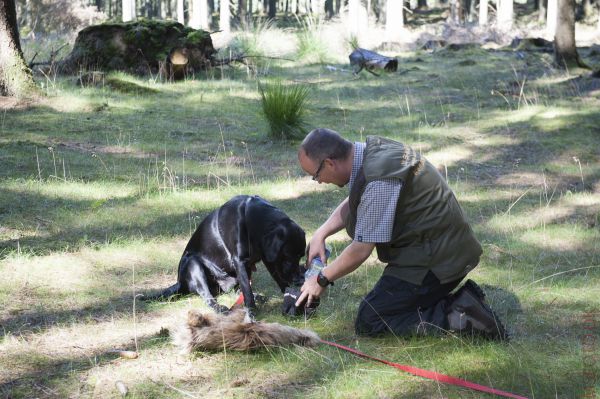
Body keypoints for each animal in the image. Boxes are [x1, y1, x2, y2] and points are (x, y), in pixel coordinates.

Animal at [152, 195, 308, 314]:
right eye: (287, 257)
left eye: (301, 256)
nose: (299, 280)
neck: (250, 218)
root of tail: (179, 282)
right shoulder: (240, 261)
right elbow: (247, 289)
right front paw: (251, 311)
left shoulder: (267, 256)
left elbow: (277, 278)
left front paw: (289, 295)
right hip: (192, 263)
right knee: (208, 296)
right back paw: (220, 307)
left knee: (234, 291)